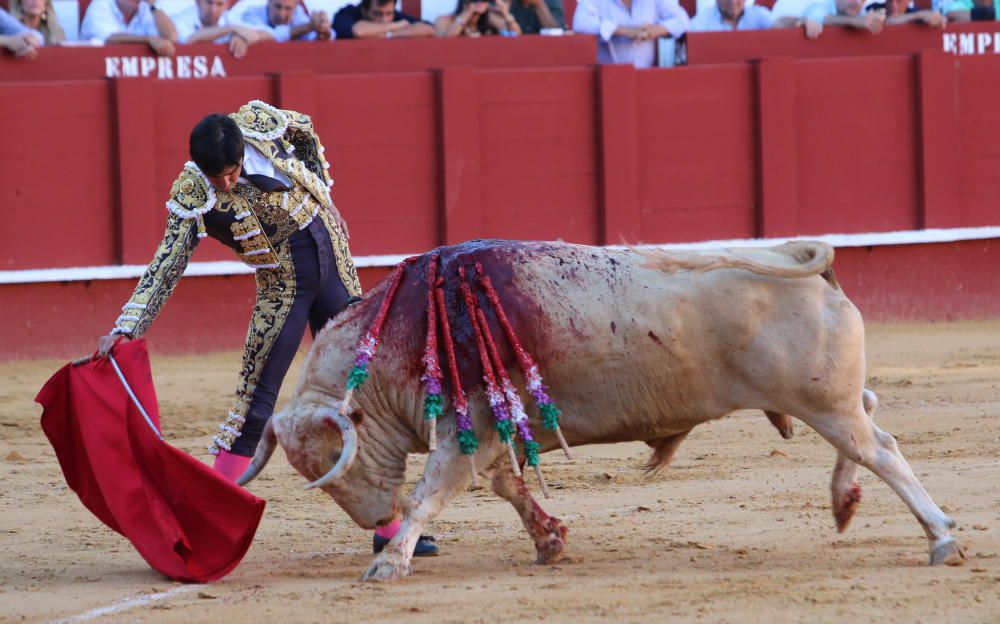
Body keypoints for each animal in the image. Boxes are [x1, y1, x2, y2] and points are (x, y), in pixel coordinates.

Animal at [238, 238, 964, 580]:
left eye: (331, 458)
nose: (373, 522)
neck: (403, 330)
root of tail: (794, 255)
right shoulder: (487, 434)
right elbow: (508, 487)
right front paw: (550, 542)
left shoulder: (468, 428)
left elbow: (429, 495)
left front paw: (388, 562)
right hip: (825, 398)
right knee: (870, 420)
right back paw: (846, 502)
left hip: (819, 399)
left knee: (881, 448)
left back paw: (942, 537)